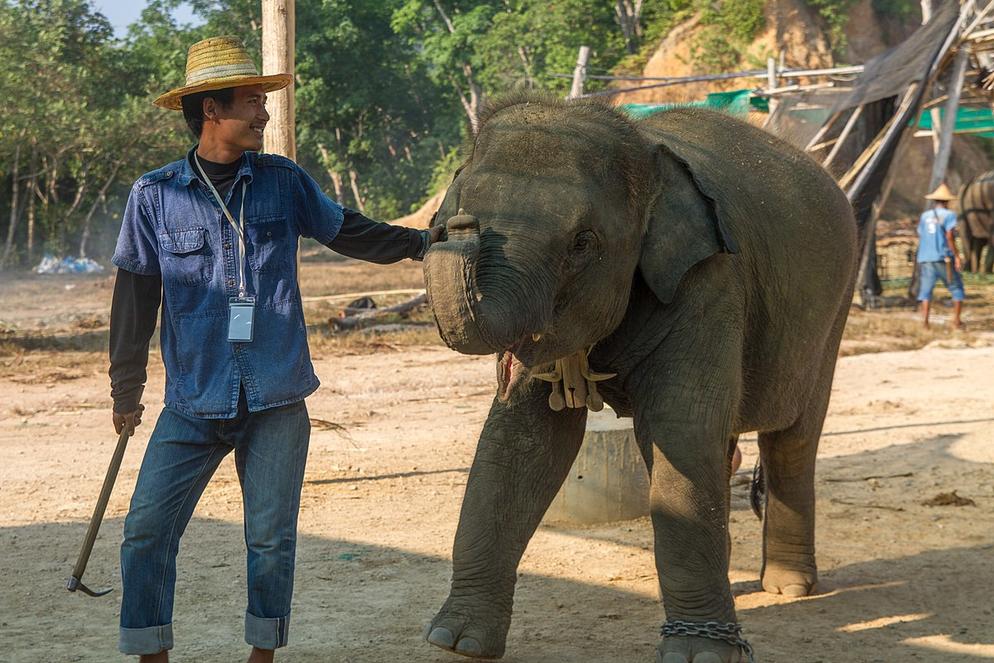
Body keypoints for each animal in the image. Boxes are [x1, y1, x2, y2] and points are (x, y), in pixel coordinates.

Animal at [421, 94, 858, 663]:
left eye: (583, 243)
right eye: (455, 209)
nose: (456, 225)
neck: (642, 148)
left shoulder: (711, 280)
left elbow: (679, 431)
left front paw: (699, 654)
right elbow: (521, 441)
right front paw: (457, 642)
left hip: (834, 307)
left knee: (792, 439)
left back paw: (788, 588)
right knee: (724, 445)